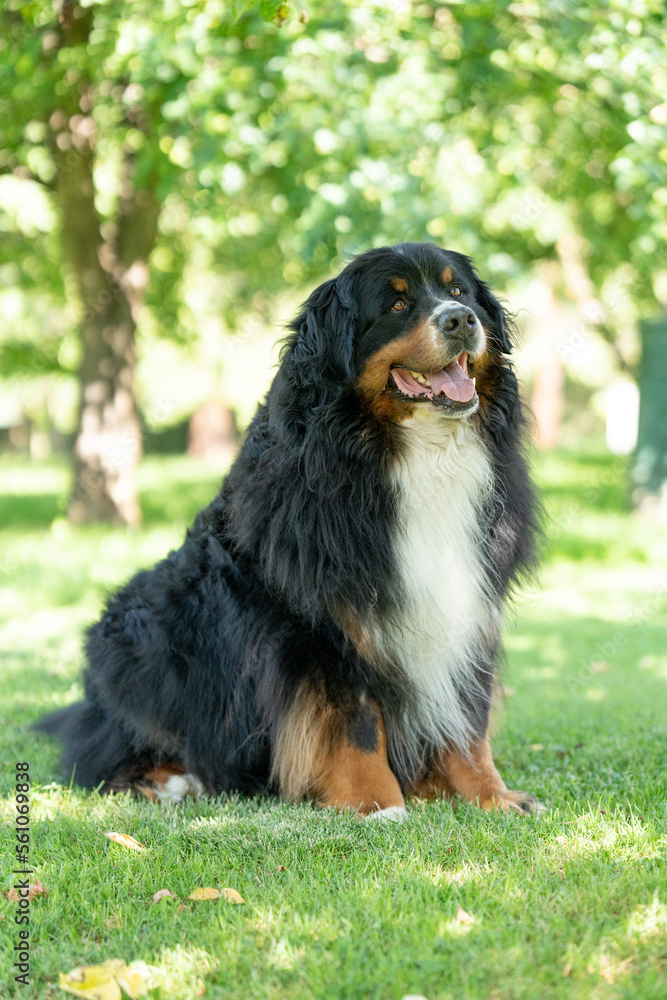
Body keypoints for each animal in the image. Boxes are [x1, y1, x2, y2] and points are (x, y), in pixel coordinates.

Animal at [37, 242, 544, 820]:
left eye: (457, 290)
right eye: (396, 304)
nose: (460, 319)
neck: (411, 455)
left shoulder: (468, 604)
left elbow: (467, 723)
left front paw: (491, 795)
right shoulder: (322, 621)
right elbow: (356, 720)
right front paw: (377, 804)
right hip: (139, 642)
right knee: (102, 749)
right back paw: (174, 780)